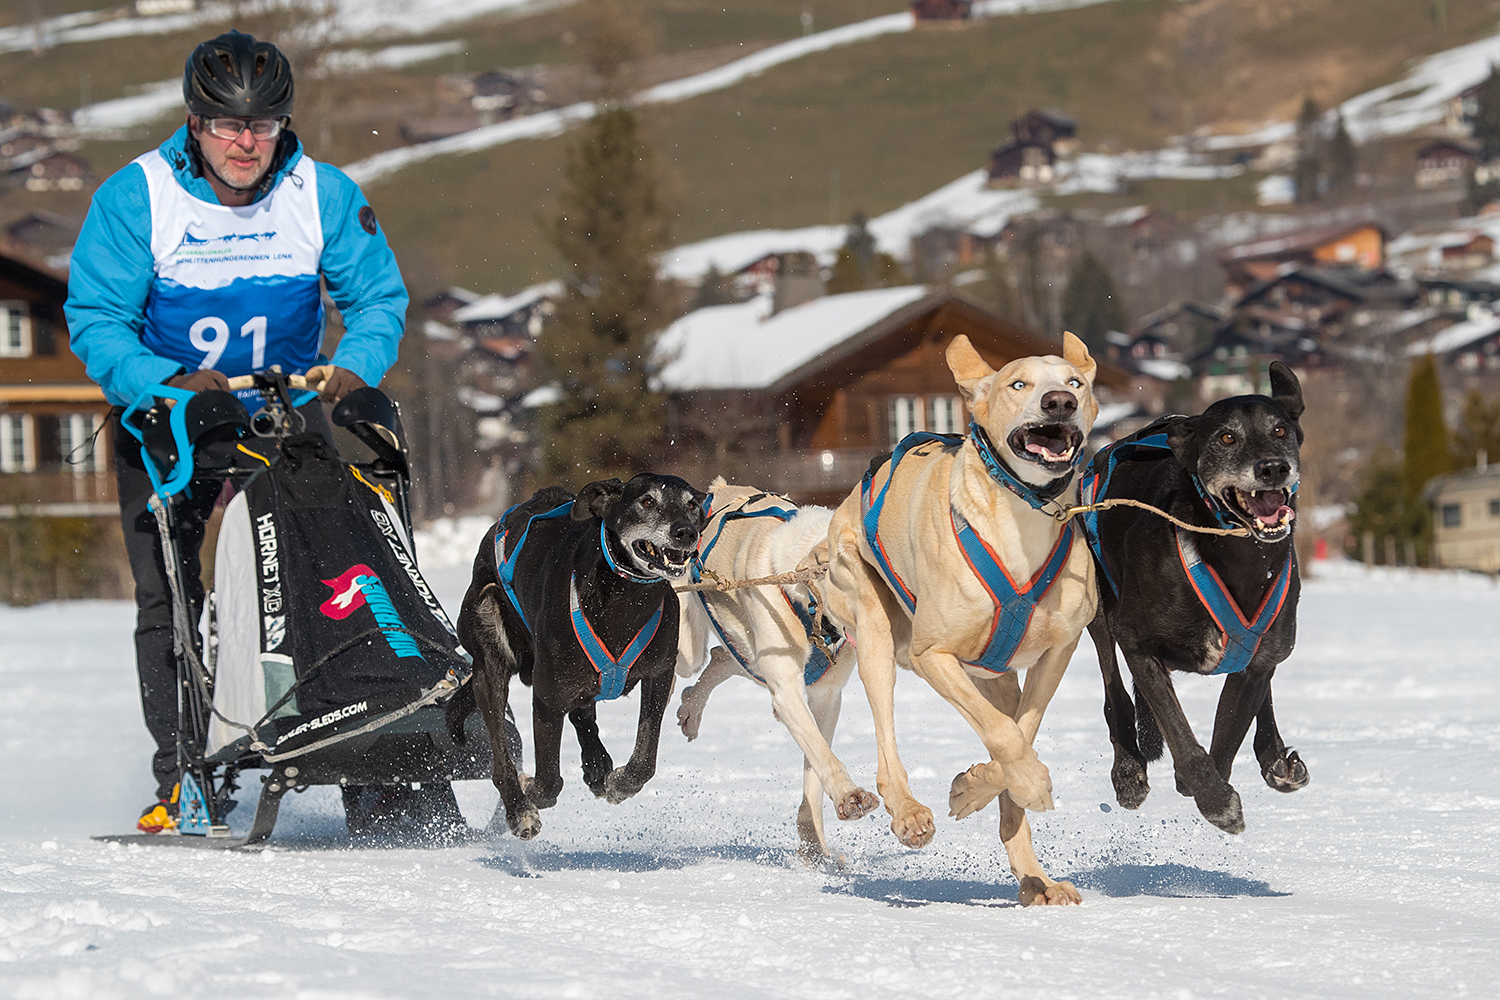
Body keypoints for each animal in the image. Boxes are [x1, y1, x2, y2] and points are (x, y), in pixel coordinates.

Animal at [447, 473, 705, 839]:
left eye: (692, 504)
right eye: (647, 501)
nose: (686, 531)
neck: (624, 597)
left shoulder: (658, 677)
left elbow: (644, 761)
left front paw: (620, 783)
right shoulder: (547, 697)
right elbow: (549, 781)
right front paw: (529, 796)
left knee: (584, 713)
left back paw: (597, 764)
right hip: (490, 657)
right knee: (501, 756)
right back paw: (519, 807)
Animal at [822, 334, 1104, 905]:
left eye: (1074, 381)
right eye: (1018, 383)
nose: (1059, 403)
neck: (1022, 516)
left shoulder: (1058, 651)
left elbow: (1020, 732)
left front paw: (976, 789)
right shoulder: (935, 656)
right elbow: (1004, 735)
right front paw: (1031, 783)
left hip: (996, 677)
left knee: (1007, 729)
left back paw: (1036, 878)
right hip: (875, 630)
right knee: (887, 738)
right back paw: (909, 812)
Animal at [1086, 364, 1308, 833]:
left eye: (1280, 429)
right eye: (1226, 437)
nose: (1273, 468)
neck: (1237, 554)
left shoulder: (1256, 661)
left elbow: (1226, 739)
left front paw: (1210, 787)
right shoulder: (1137, 642)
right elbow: (1180, 735)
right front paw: (1215, 800)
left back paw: (1275, 758)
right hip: (1097, 609)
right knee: (1115, 693)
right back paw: (1128, 770)